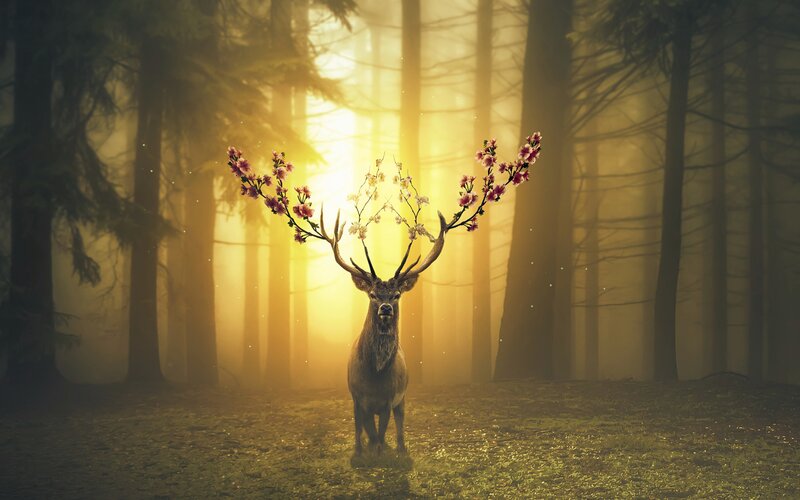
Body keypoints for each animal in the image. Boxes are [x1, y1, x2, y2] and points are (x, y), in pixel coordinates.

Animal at [225, 132, 541, 456]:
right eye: (373, 294)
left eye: (397, 294)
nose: (386, 308)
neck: (375, 377)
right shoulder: (355, 396)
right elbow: (361, 429)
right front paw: (361, 453)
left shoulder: (391, 398)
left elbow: (382, 430)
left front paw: (383, 452)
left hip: (404, 397)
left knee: (398, 425)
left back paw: (399, 449)